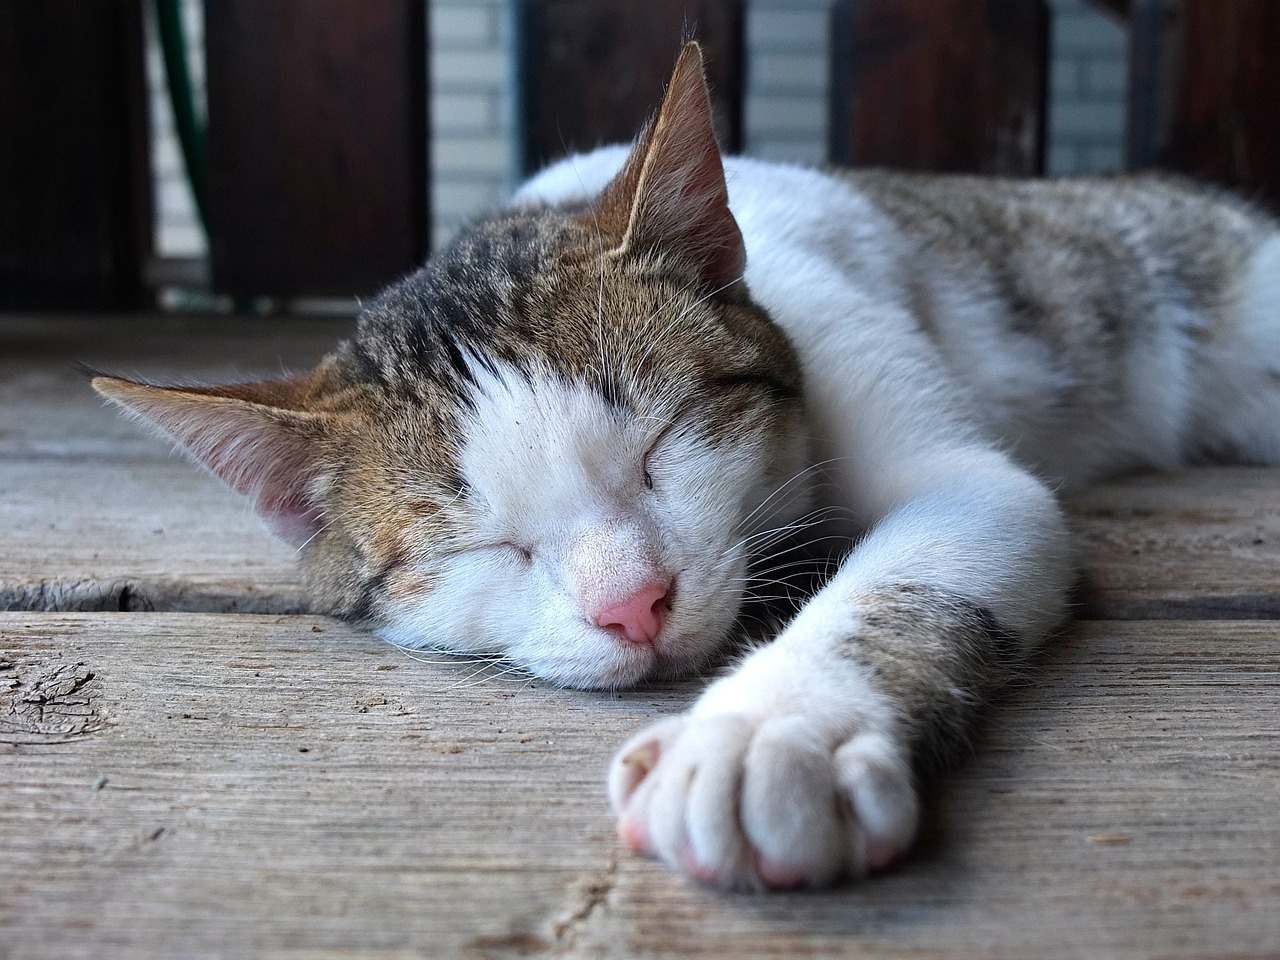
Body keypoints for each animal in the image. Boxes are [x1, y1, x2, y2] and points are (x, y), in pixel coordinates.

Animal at [92, 41, 1280, 890]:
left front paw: (769, 733)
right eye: (488, 549)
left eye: (661, 450)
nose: (634, 605)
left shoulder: (902, 403)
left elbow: (931, 546)